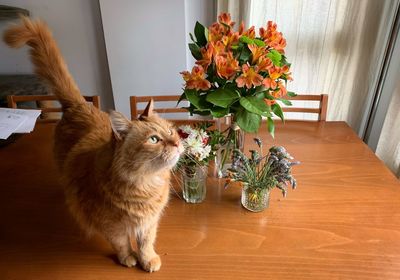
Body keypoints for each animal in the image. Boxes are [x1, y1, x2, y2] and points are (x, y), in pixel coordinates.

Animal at [3, 16, 183, 272]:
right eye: (154, 139)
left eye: (170, 131)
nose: (177, 142)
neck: (144, 185)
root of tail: (78, 104)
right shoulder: (109, 224)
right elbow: (121, 243)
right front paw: (128, 258)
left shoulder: (149, 222)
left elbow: (146, 242)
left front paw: (147, 259)